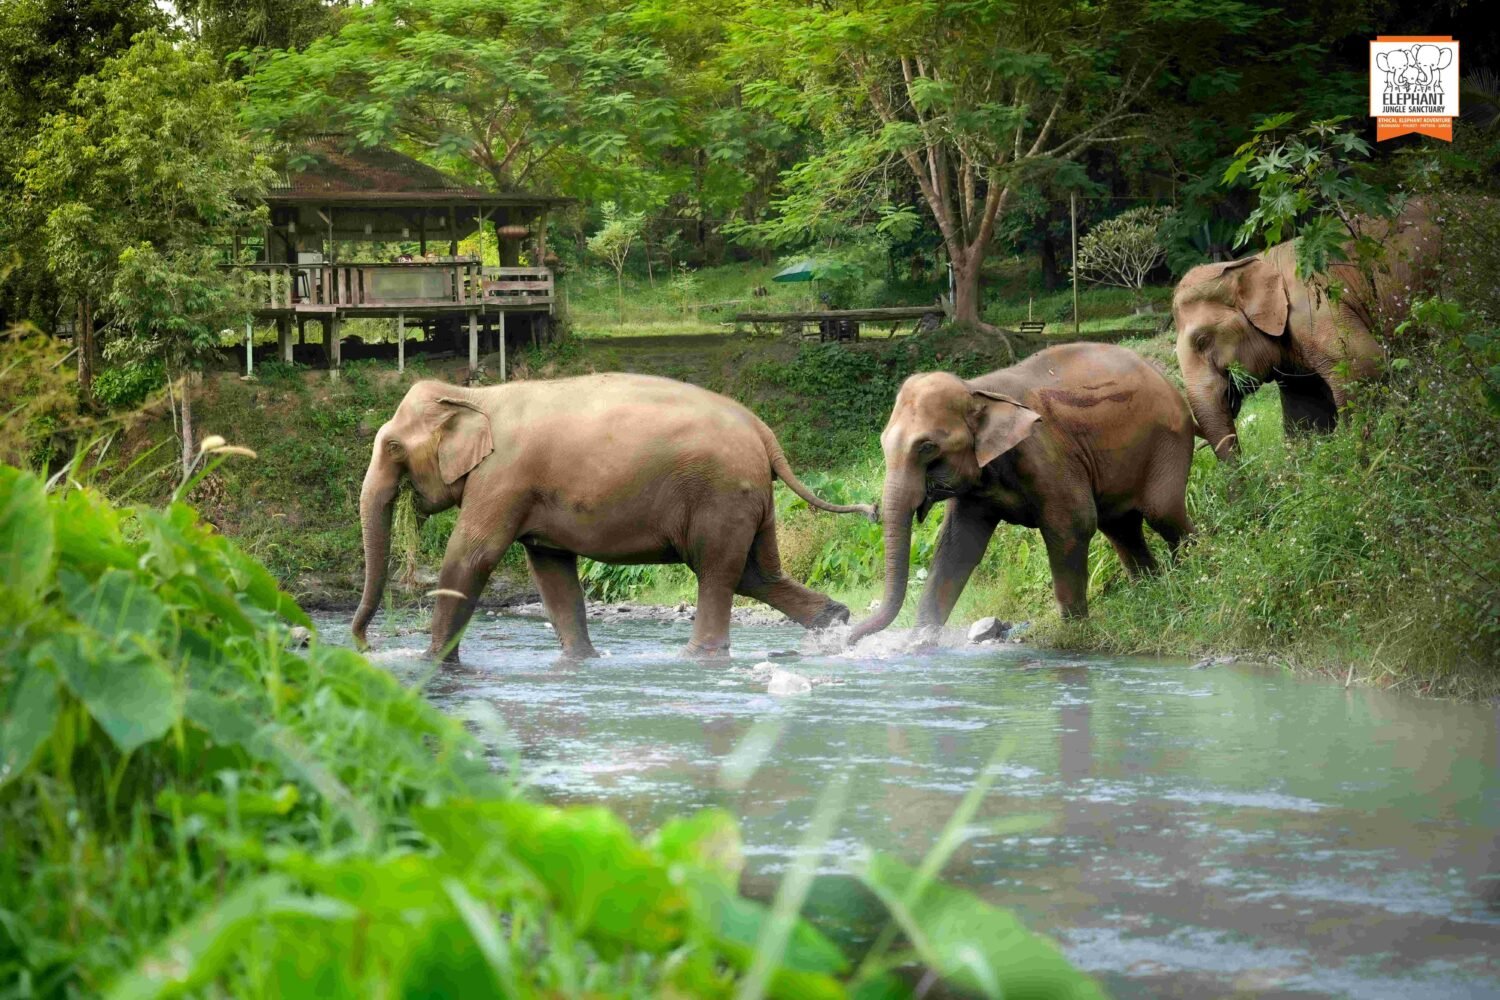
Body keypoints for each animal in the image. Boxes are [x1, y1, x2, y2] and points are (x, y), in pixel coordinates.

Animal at [852, 341, 1188, 641]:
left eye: (926, 447)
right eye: (883, 443)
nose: (848, 639)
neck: (977, 389)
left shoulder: (1046, 454)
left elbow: (1072, 525)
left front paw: (1073, 635)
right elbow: (957, 547)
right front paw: (918, 644)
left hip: (1166, 444)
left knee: (1162, 514)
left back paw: (1189, 571)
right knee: (1121, 528)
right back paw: (1150, 590)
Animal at [1176, 200, 1434, 458]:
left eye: (1202, 341)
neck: (1257, 262)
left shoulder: (1315, 313)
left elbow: (1363, 366)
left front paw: (1359, 451)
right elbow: (1307, 412)